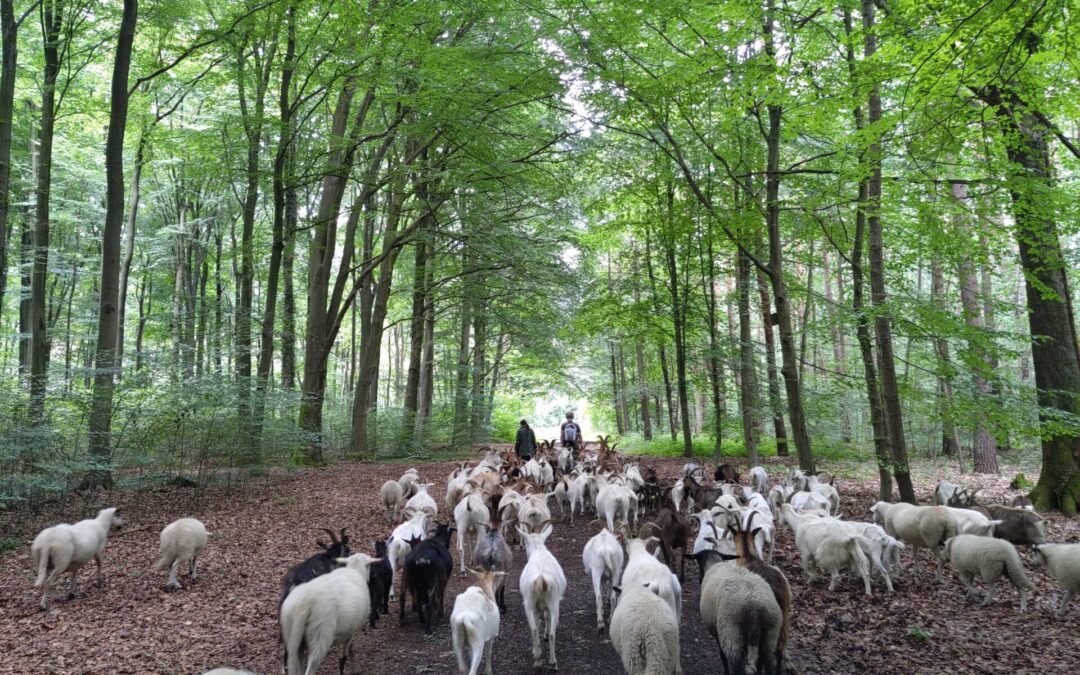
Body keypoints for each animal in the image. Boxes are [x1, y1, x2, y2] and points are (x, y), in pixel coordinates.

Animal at [518, 520, 570, 669]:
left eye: (525, 541)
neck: (539, 550)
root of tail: (541, 578)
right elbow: (546, 617)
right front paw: (545, 635)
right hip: (552, 602)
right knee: (550, 633)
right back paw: (552, 660)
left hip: (530, 603)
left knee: (534, 628)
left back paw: (538, 655)